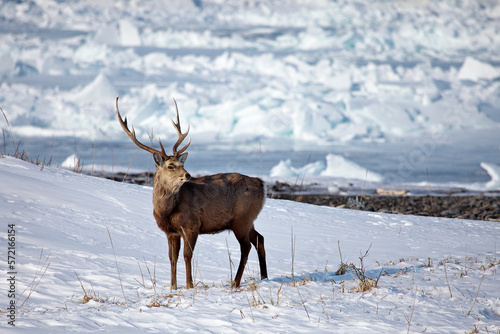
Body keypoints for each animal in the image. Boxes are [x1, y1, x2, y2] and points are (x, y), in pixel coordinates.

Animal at [114, 96, 268, 290]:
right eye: (171, 166)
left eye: (182, 164)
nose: (187, 175)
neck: (167, 211)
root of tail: (261, 185)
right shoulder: (171, 232)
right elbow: (172, 258)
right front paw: (172, 286)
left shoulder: (192, 225)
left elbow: (187, 255)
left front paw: (189, 285)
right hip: (249, 220)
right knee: (259, 239)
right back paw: (264, 277)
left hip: (242, 218)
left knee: (246, 246)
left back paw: (236, 282)